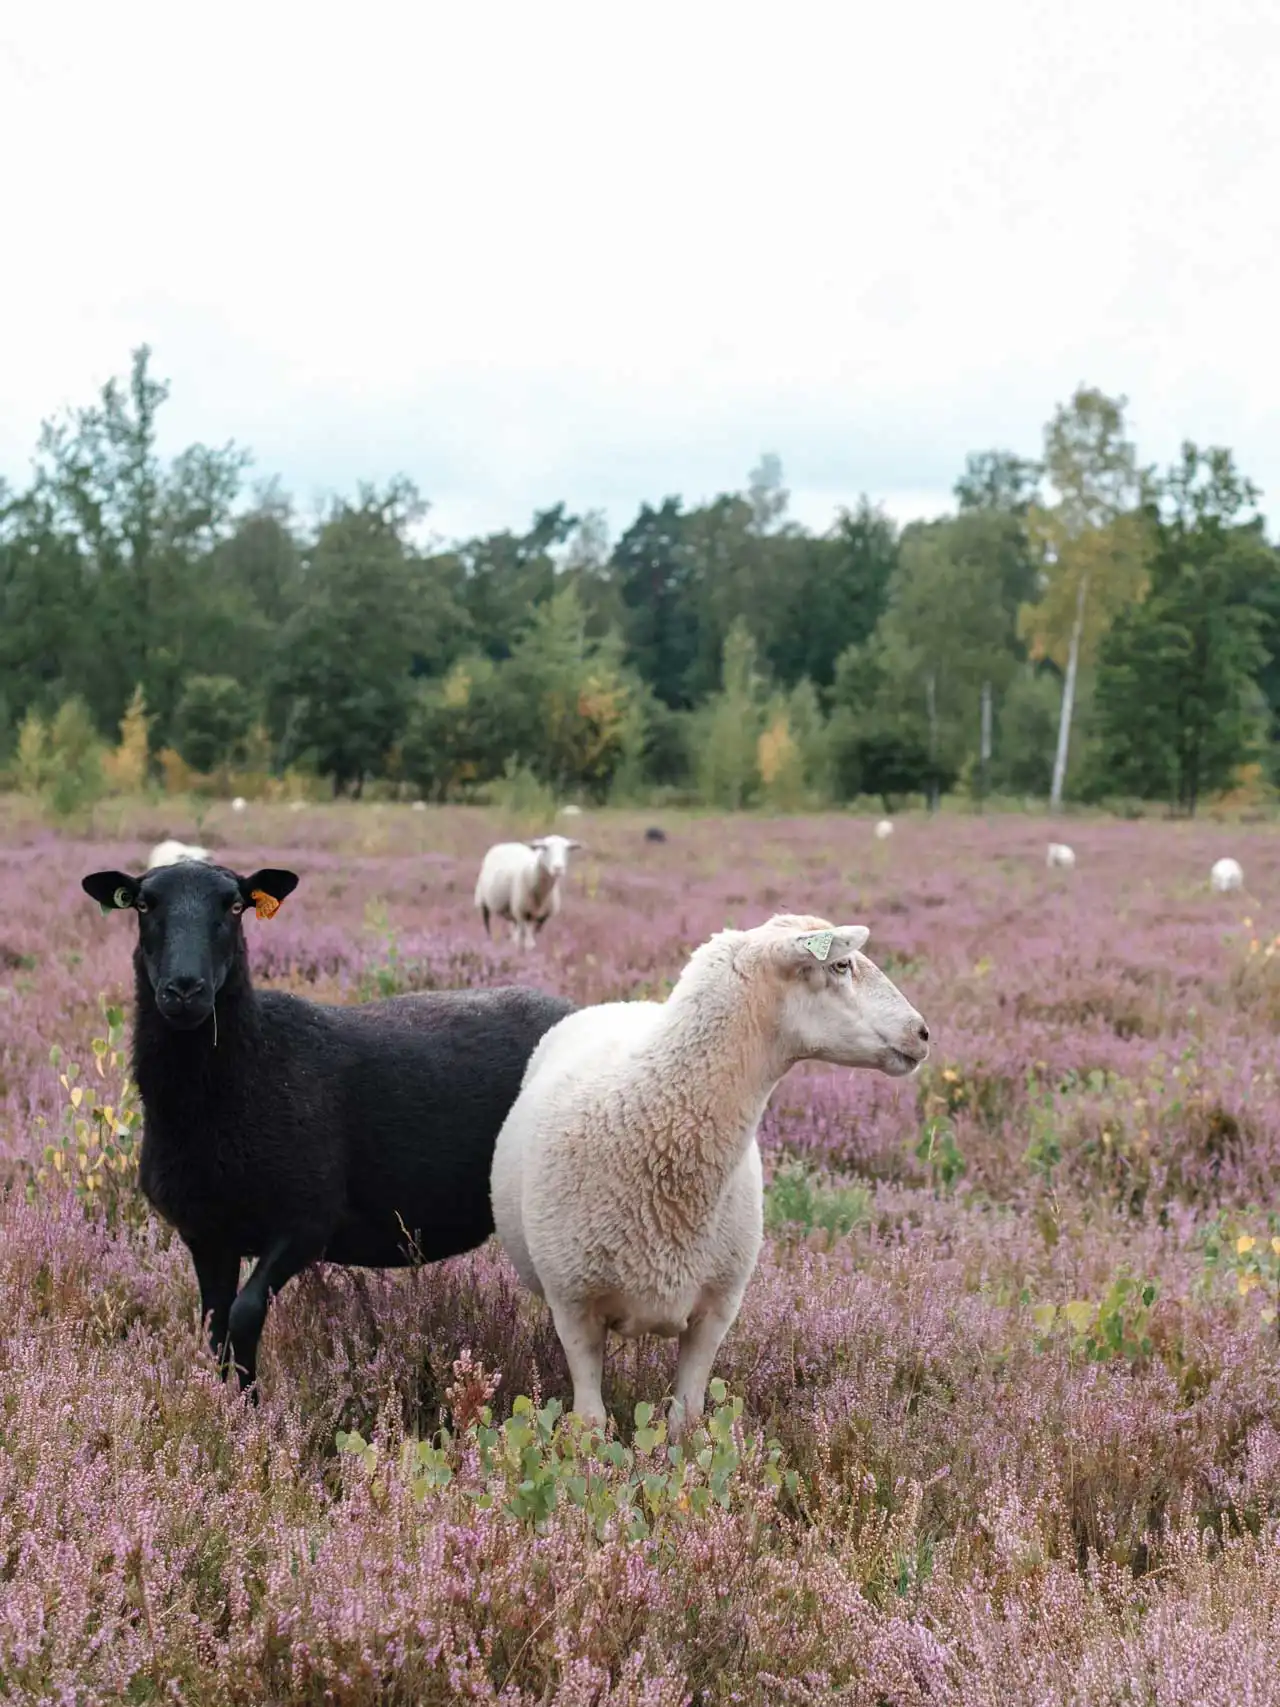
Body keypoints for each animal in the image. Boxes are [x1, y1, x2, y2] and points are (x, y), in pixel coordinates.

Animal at [81, 859, 574, 1393]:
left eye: (235, 907)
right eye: (143, 905)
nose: (184, 989)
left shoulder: (306, 1219)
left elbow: (244, 1316)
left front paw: (251, 1407)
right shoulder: (208, 1233)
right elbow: (216, 1331)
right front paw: (225, 1404)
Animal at [490, 912, 929, 1438]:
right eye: (841, 964)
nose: (923, 1032)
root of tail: (623, 1004)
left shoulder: (718, 1308)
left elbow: (687, 1419)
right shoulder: (574, 1307)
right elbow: (592, 1423)